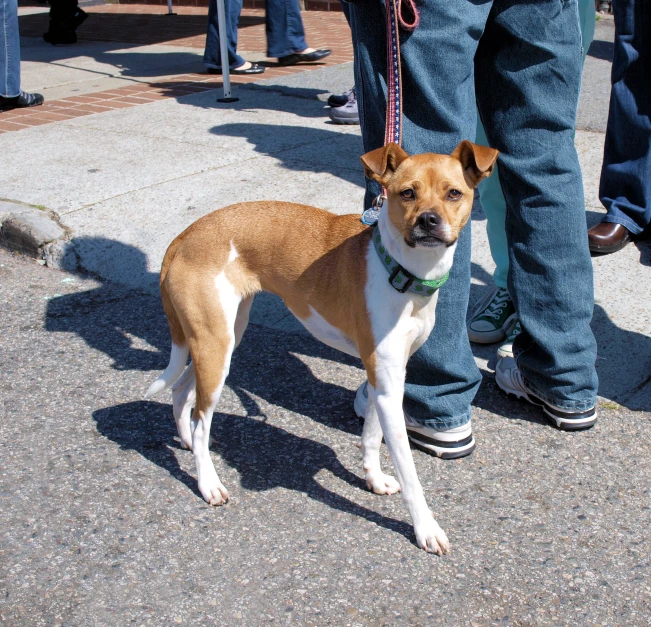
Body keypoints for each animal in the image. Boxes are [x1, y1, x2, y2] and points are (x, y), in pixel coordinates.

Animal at [146, 142, 500, 556]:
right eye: (407, 193)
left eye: (453, 193)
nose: (429, 220)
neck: (401, 270)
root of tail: (185, 235)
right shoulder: (387, 382)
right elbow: (410, 473)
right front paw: (425, 528)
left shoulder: (385, 378)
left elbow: (371, 435)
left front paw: (374, 478)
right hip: (215, 345)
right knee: (201, 417)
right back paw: (208, 482)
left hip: (221, 340)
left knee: (183, 392)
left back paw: (187, 443)